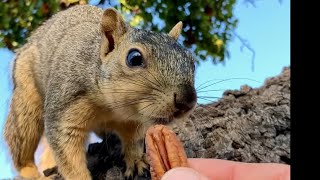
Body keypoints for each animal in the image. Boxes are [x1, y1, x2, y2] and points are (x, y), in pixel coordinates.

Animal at [3, 4, 198, 180]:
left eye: (192, 62)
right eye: (134, 58)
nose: (186, 100)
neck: (112, 107)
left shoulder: (134, 120)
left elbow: (133, 140)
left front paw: (136, 160)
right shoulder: (65, 104)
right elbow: (67, 150)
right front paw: (80, 177)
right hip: (26, 98)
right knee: (22, 142)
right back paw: (31, 172)